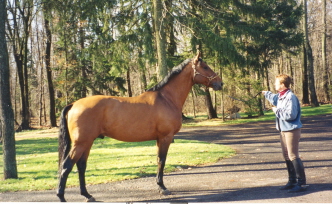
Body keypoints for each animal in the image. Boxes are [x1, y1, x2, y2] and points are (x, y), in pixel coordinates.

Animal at [57, 51, 223, 202]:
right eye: (205, 67)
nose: (220, 83)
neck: (166, 98)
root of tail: (73, 104)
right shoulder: (165, 137)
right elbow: (162, 160)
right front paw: (162, 187)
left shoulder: (159, 139)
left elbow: (158, 160)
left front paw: (159, 185)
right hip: (81, 143)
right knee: (66, 166)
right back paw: (61, 197)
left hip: (87, 142)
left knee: (81, 166)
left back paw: (87, 195)